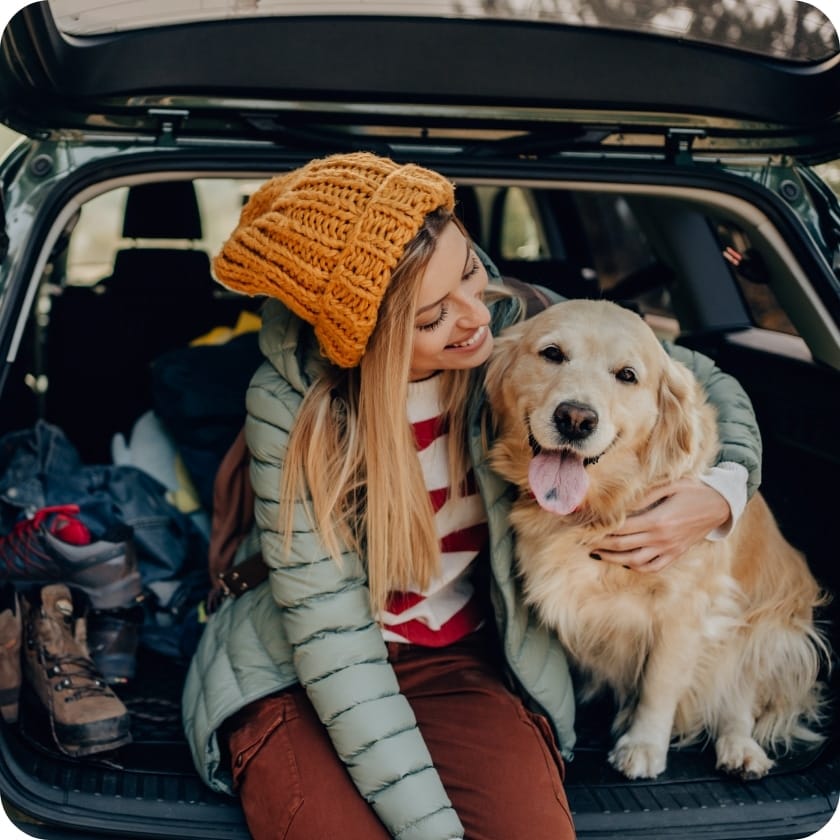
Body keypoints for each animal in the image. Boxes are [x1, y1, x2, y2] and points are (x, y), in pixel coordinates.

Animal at [486, 298, 828, 776]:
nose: (576, 418)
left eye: (627, 375)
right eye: (552, 354)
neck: (602, 507)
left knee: (738, 696)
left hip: (765, 630)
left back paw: (740, 749)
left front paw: (644, 746)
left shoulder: (686, 608)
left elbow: (659, 685)